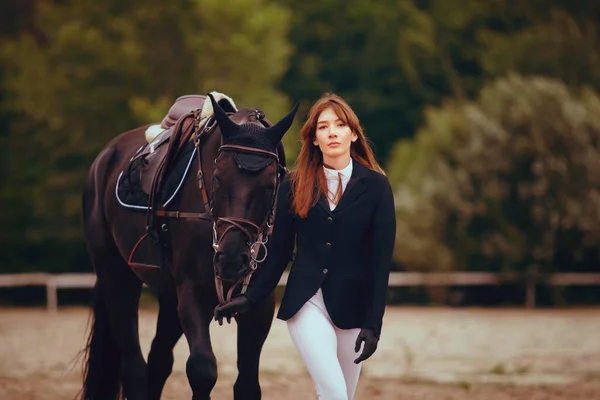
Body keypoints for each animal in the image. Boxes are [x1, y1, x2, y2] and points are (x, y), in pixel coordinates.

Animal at [81, 94, 296, 400]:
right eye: (217, 177)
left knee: (158, 361)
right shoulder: (193, 291)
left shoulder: (259, 302)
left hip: (168, 294)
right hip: (117, 277)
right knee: (134, 368)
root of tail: (104, 158)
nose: (231, 260)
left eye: (270, 185)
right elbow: (202, 370)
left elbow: (247, 385)